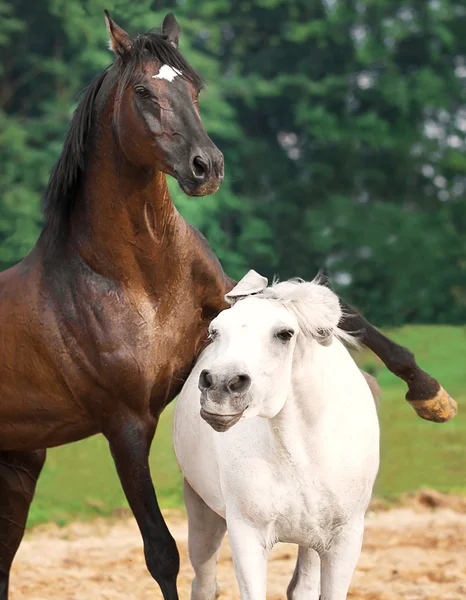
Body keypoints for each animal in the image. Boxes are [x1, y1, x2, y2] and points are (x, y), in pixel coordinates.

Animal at [173, 270, 380, 600]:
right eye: (215, 331)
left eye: (284, 334)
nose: (220, 386)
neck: (299, 456)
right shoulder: (247, 536)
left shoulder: (343, 541)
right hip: (203, 510)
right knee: (204, 584)